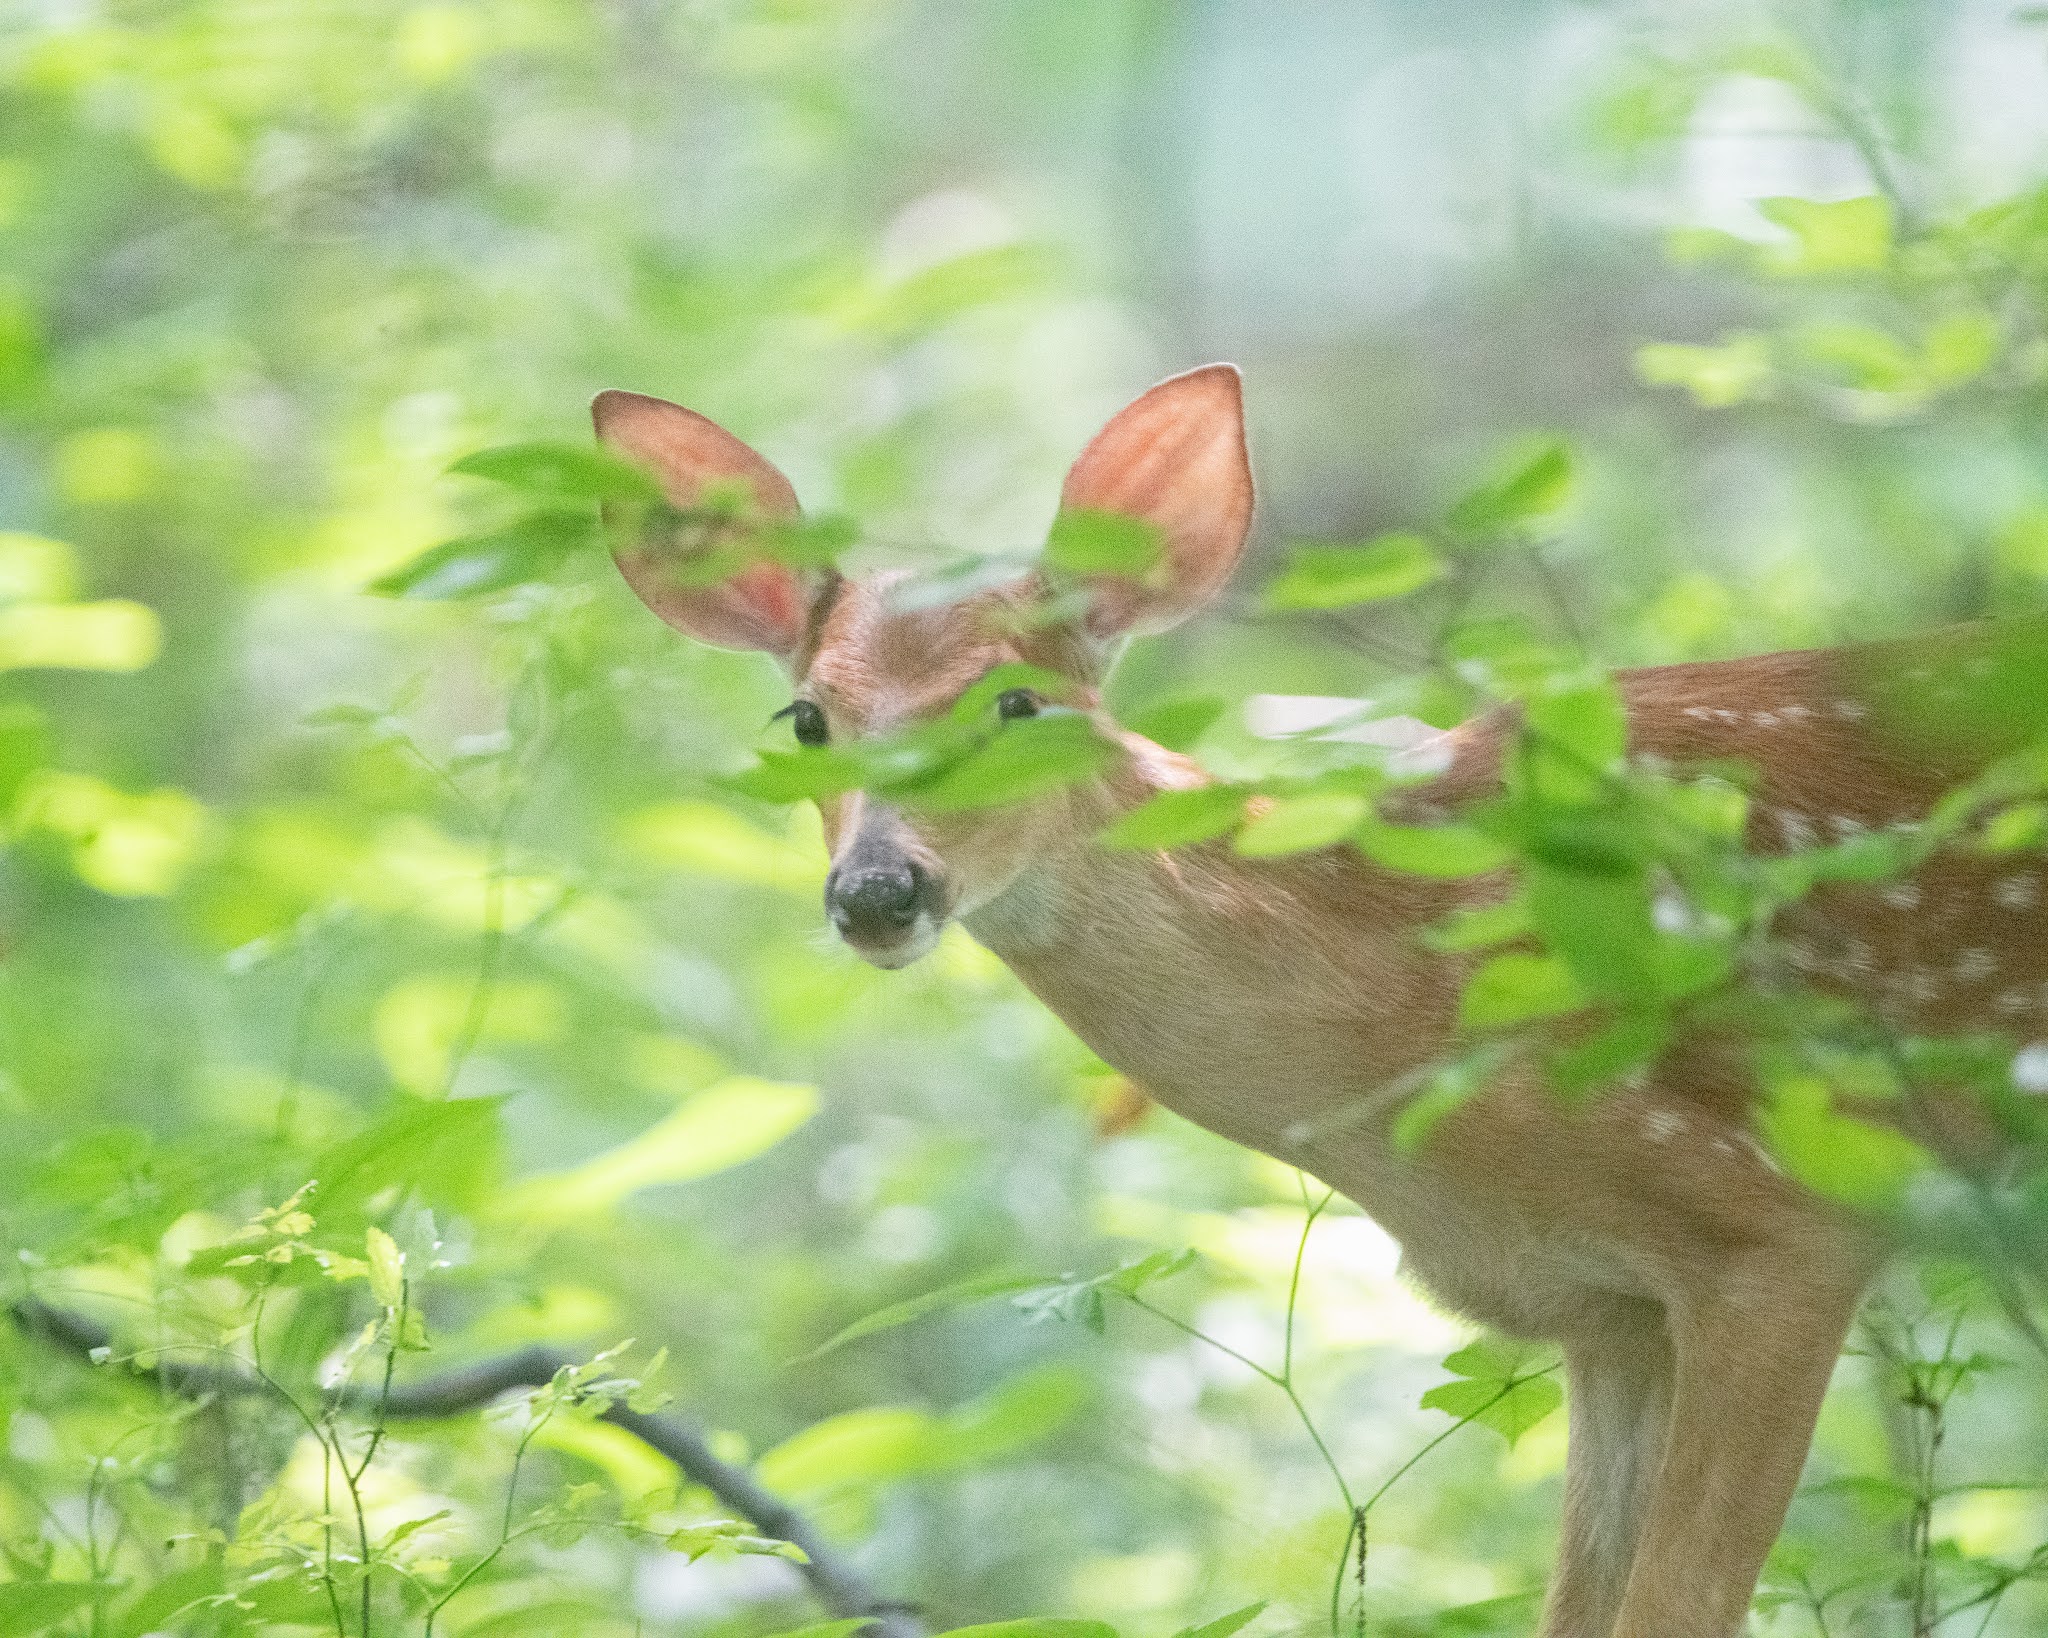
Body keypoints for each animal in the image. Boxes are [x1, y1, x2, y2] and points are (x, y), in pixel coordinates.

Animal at [592, 365, 2047, 1638]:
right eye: (805, 721)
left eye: (1019, 701)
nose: (879, 889)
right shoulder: (1608, 1308)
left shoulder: (1786, 1214)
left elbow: (1679, 1607)